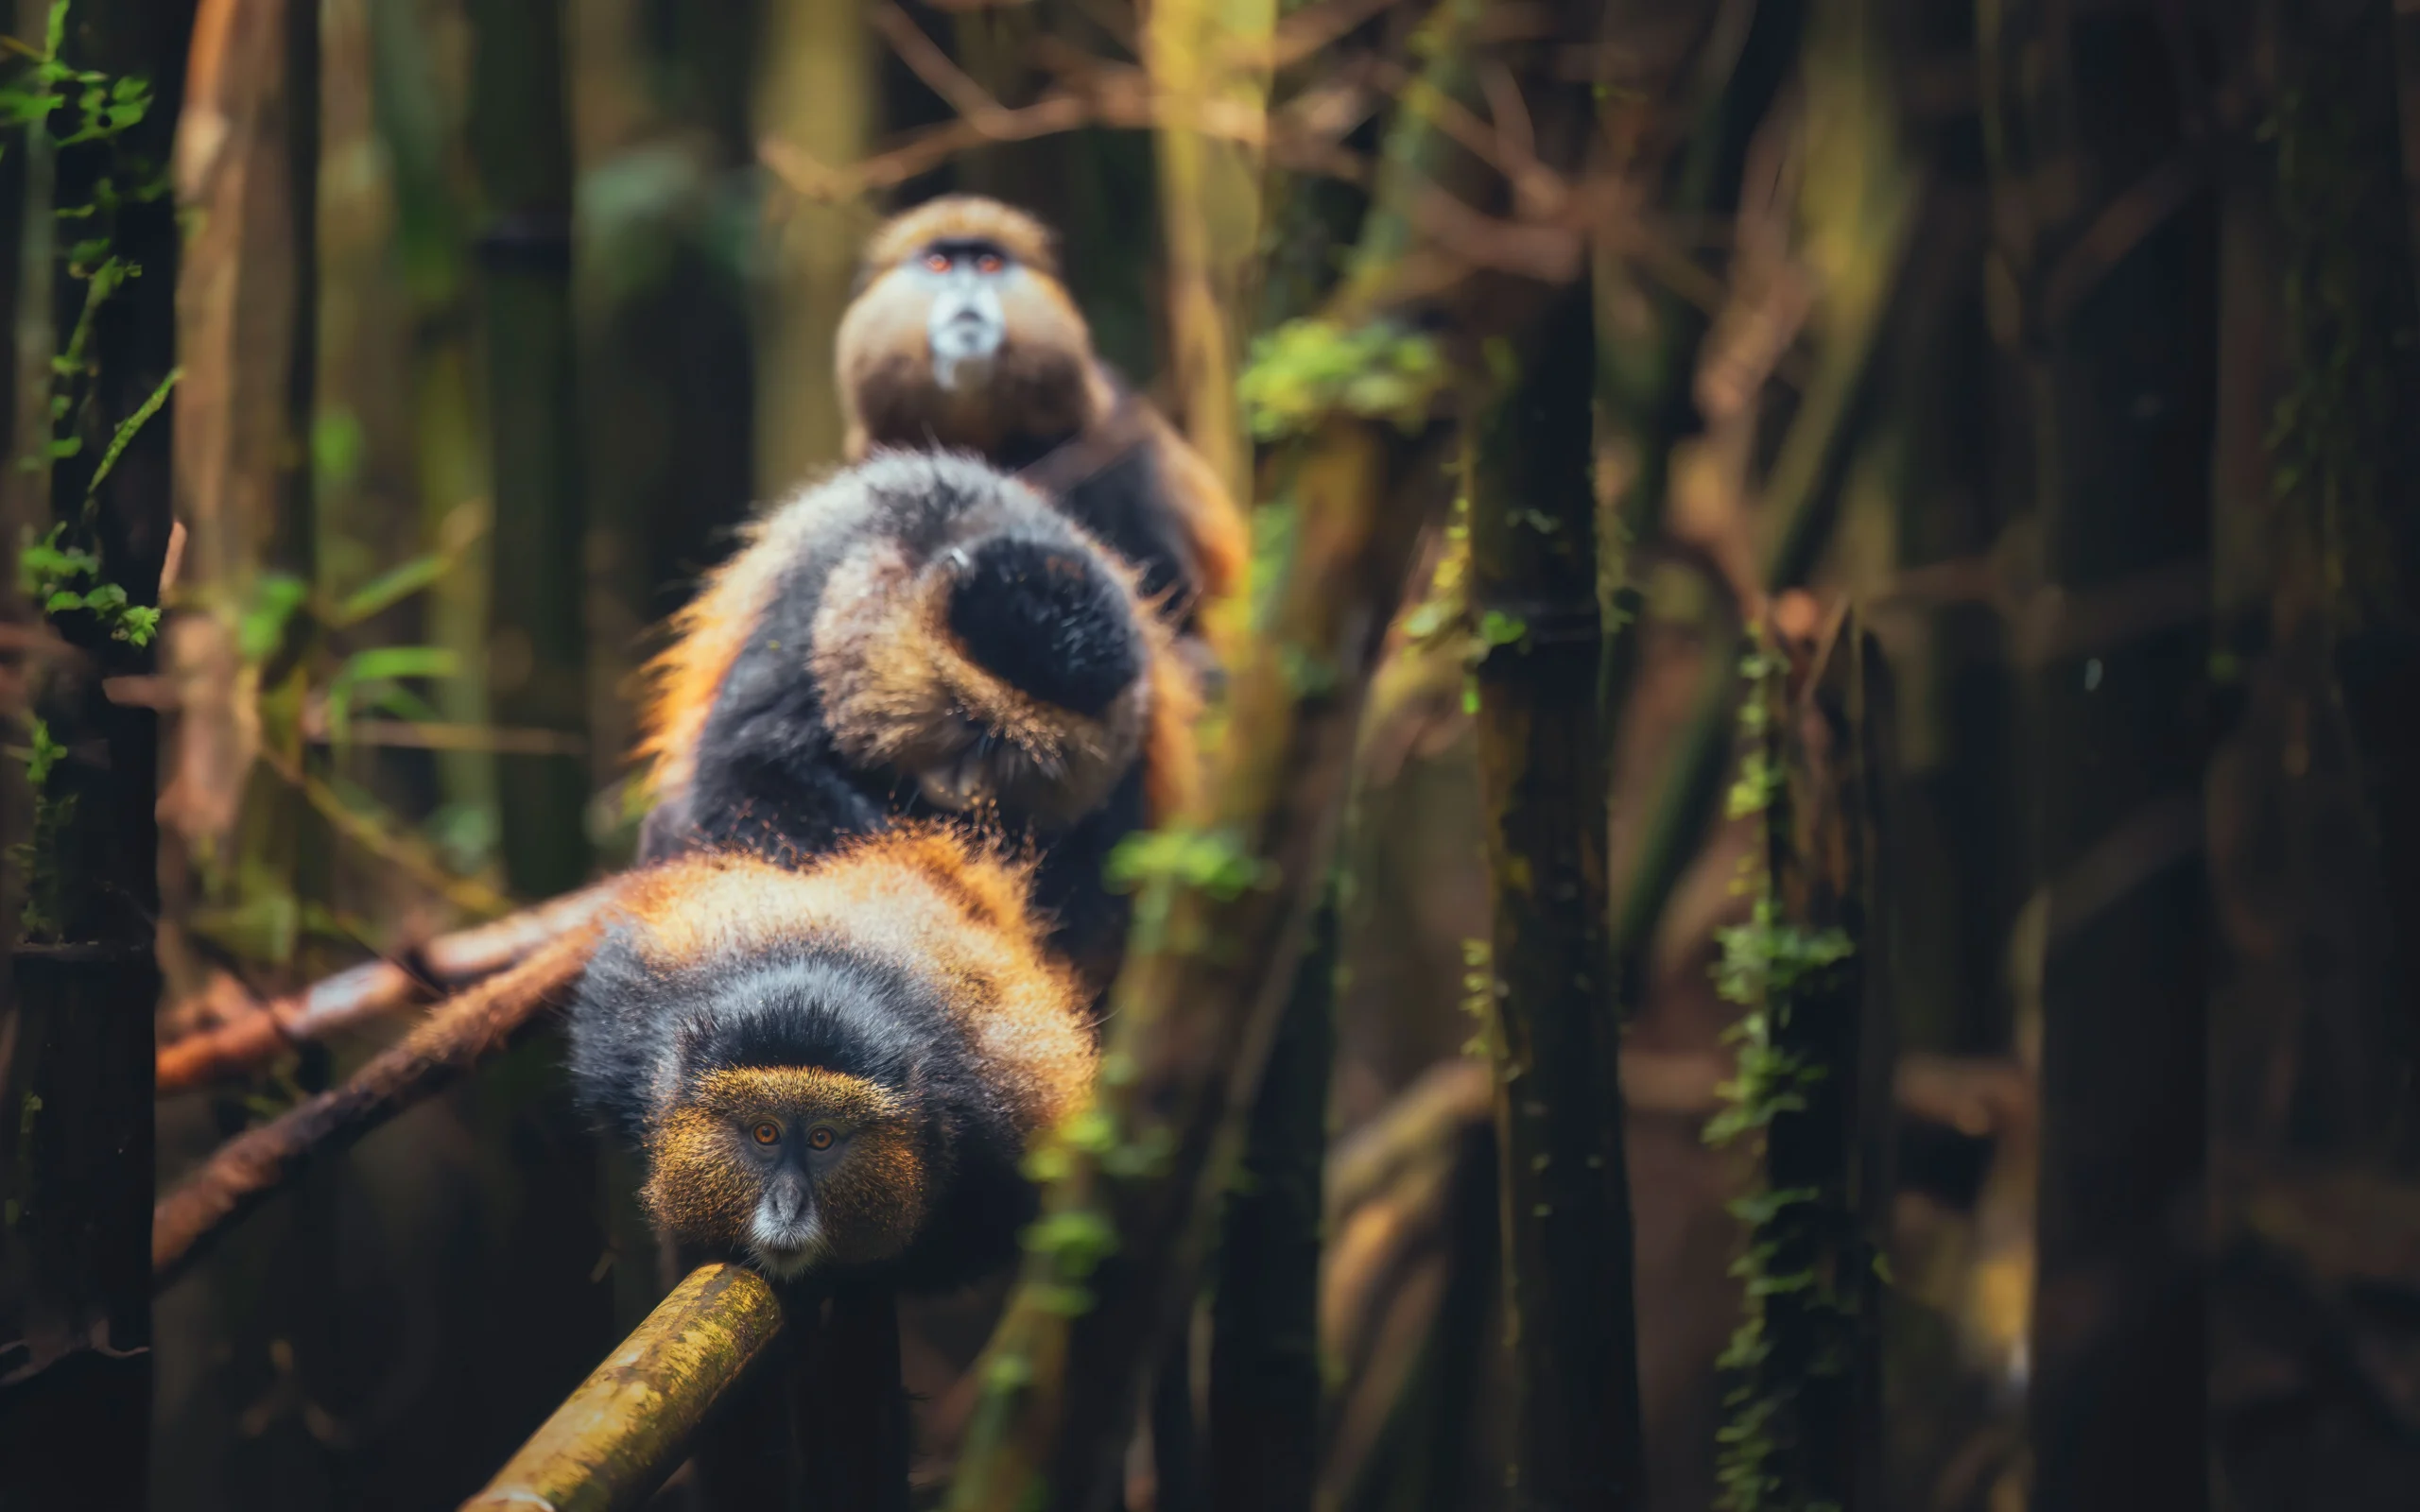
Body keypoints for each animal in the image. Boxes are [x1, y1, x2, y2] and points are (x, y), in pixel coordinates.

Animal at [630, 448, 1199, 988]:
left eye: (1020, 755)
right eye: (967, 720)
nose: (966, 787)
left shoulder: (1132, 739)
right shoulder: (817, 595)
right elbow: (747, 773)